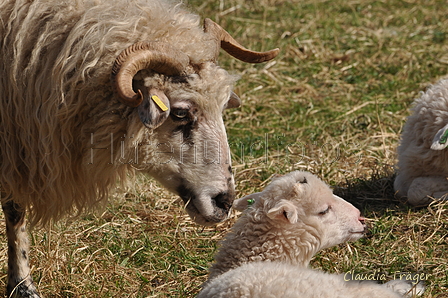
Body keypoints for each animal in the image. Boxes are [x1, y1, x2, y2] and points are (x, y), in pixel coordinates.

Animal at [0, 0, 278, 296]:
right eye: (180, 113)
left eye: (224, 106)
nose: (224, 202)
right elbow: (15, 212)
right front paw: (22, 285)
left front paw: (21, 283)